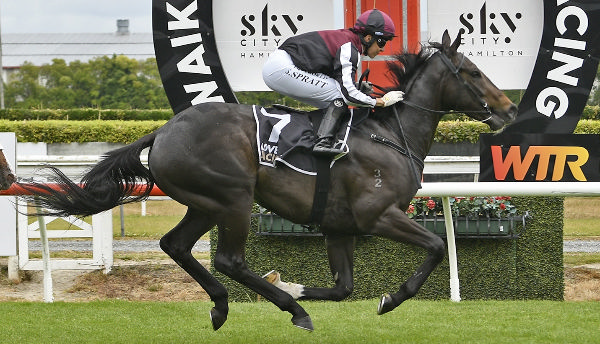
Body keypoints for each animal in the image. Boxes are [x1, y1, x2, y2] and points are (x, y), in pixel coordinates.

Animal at [19, 32, 516, 330]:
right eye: (473, 72)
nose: (509, 109)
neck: (390, 135)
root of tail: (163, 131)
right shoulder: (377, 215)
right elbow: (435, 246)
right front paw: (390, 299)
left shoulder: (339, 226)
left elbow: (343, 287)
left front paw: (301, 287)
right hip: (233, 199)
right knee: (229, 259)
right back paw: (290, 309)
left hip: (204, 203)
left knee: (176, 245)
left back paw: (224, 305)